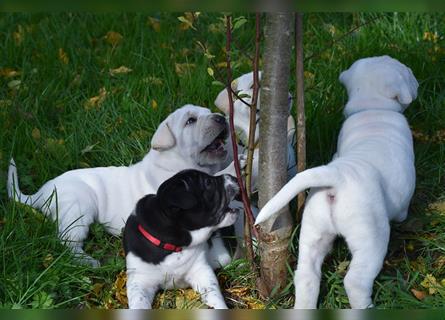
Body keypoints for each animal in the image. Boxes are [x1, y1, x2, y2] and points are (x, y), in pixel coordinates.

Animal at [123, 169, 239, 308]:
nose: (235, 178)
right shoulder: (139, 279)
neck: (173, 246)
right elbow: (139, 301)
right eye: (208, 182)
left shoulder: (200, 270)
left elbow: (213, 294)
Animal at [255, 56, 418, 308]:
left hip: (313, 232)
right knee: (355, 281)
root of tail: (337, 177)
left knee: (306, 275)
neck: (372, 109)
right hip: (371, 238)